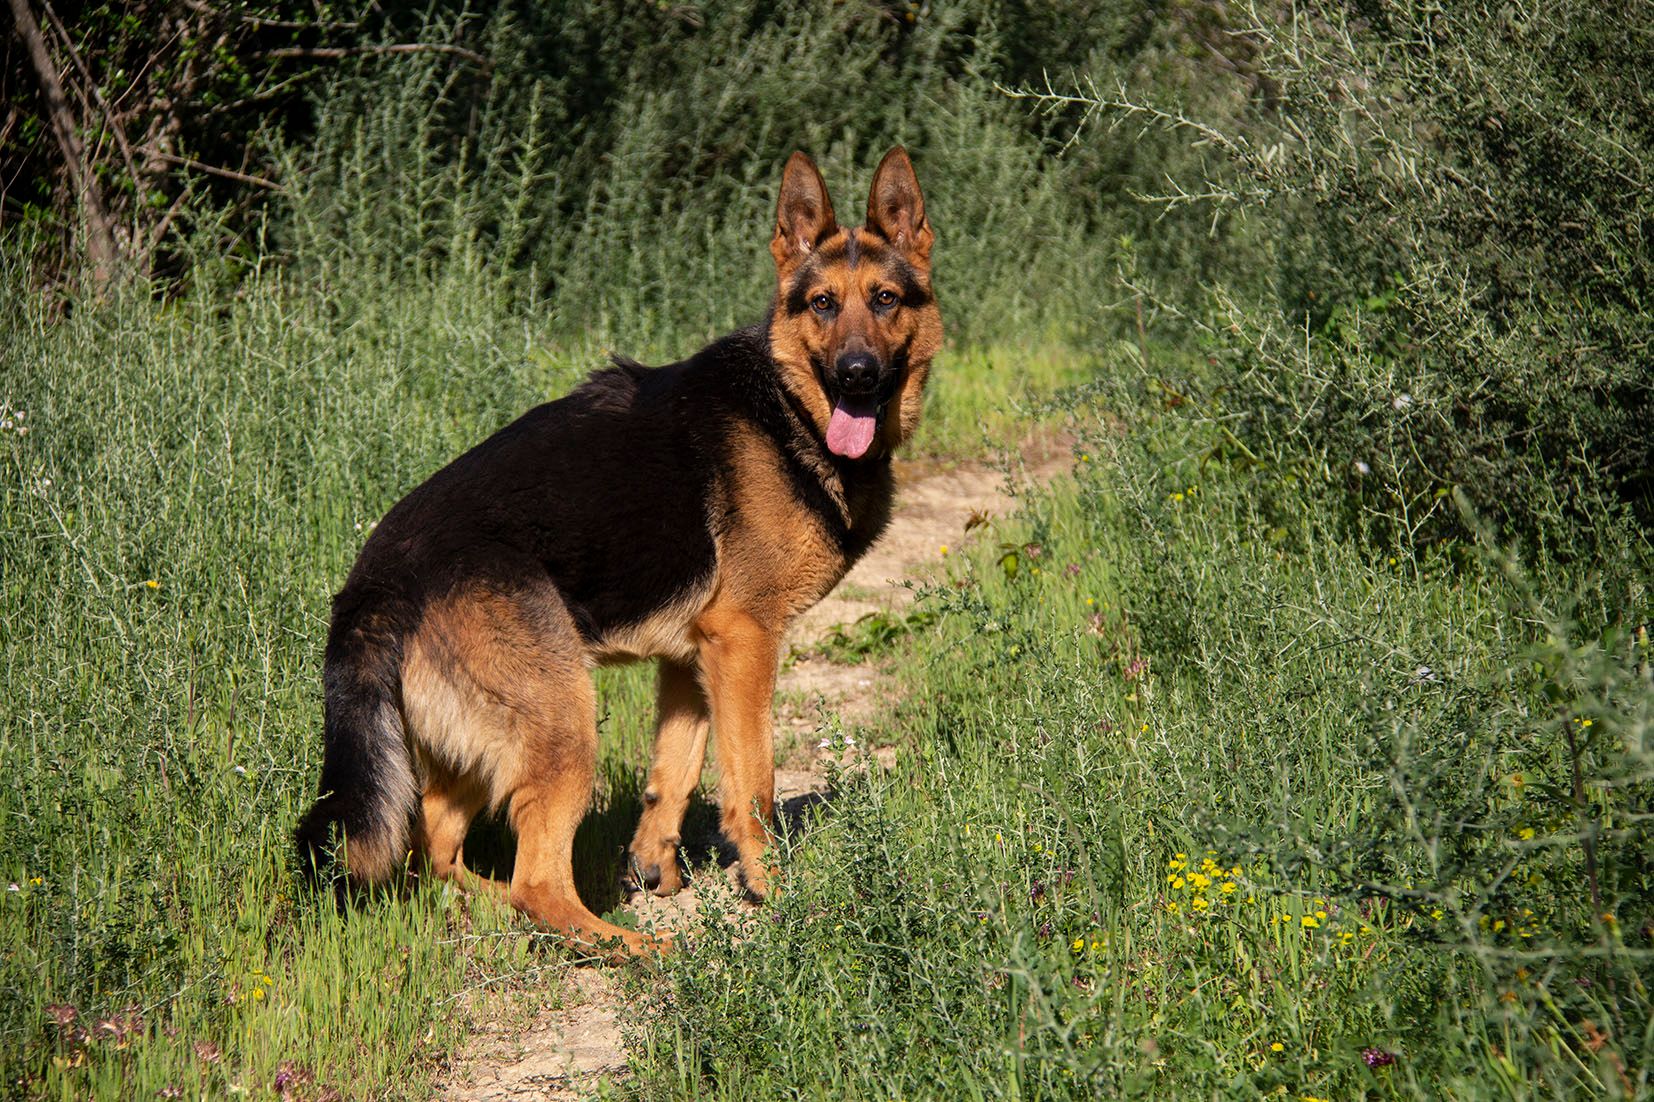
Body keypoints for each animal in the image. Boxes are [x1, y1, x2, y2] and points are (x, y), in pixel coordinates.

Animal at [294, 148, 941, 954]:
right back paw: (634, 946)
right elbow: (752, 785)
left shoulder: (696, 657)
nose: (856, 374)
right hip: (564, 720)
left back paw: (504, 913)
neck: (786, 404)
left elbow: (677, 772)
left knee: (436, 852)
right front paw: (774, 891)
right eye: (823, 304)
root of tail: (376, 582)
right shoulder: (746, 642)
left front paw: (654, 866)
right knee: (536, 883)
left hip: (484, 742)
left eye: (884, 299)